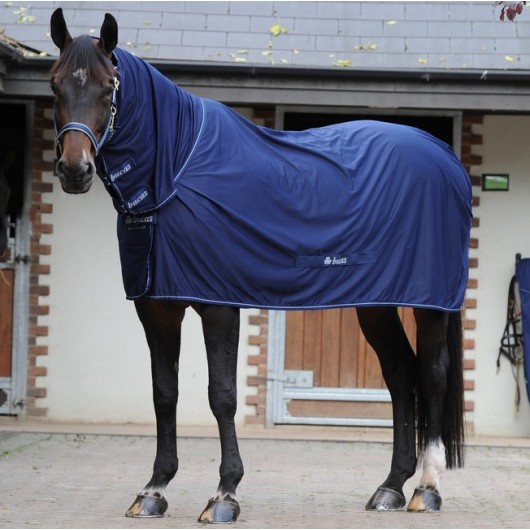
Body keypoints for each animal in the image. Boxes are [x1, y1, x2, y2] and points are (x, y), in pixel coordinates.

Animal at [49, 9, 470, 524]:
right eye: (55, 85)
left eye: (109, 87)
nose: (75, 170)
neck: (175, 173)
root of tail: (445, 156)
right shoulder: (156, 309)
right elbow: (164, 393)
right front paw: (154, 489)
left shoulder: (218, 305)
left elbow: (222, 394)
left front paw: (224, 494)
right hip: (376, 304)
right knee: (401, 375)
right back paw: (390, 487)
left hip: (430, 303)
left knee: (432, 375)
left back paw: (426, 488)